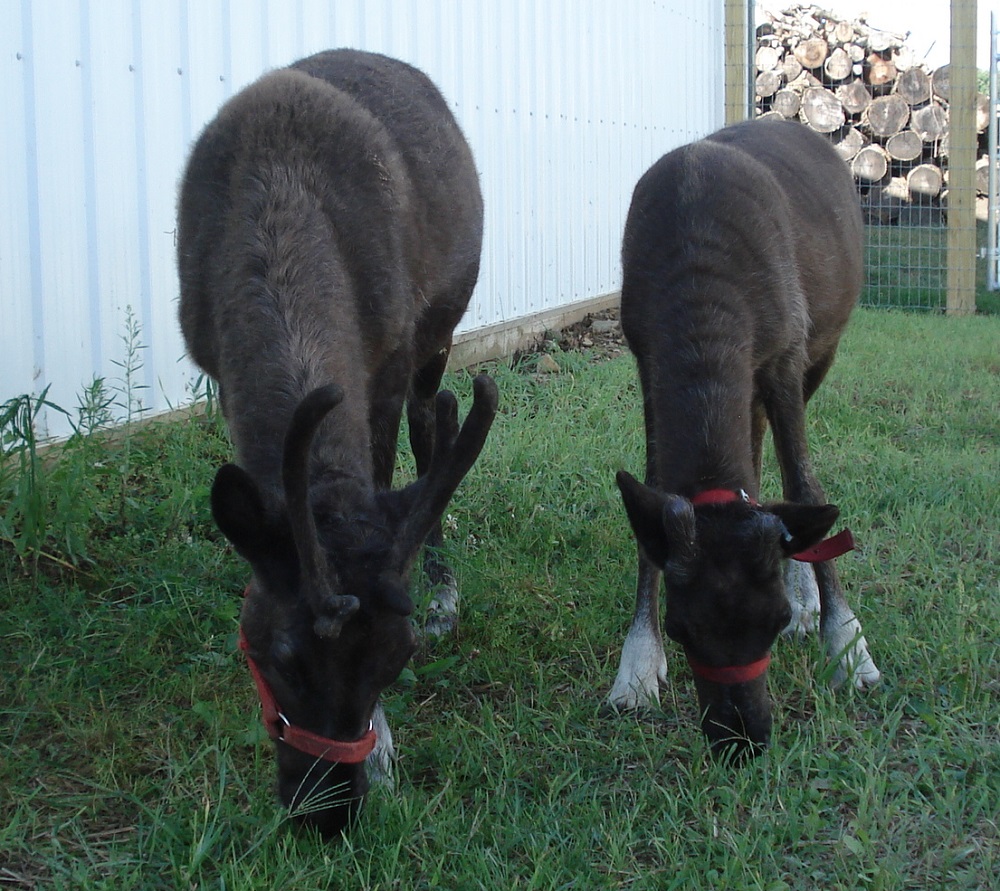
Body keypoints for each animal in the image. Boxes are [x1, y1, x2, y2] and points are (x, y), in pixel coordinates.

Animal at [177, 49, 497, 836]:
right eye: (277, 655)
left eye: (395, 659)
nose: (326, 815)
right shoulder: (216, 363)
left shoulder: (389, 355)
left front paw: (382, 752)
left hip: (440, 327)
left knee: (431, 419)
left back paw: (443, 585)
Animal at [608, 118, 880, 759]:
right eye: (680, 628)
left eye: (774, 622)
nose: (743, 739)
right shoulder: (646, 358)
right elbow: (655, 494)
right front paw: (638, 664)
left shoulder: (786, 352)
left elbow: (805, 484)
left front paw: (846, 644)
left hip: (823, 347)